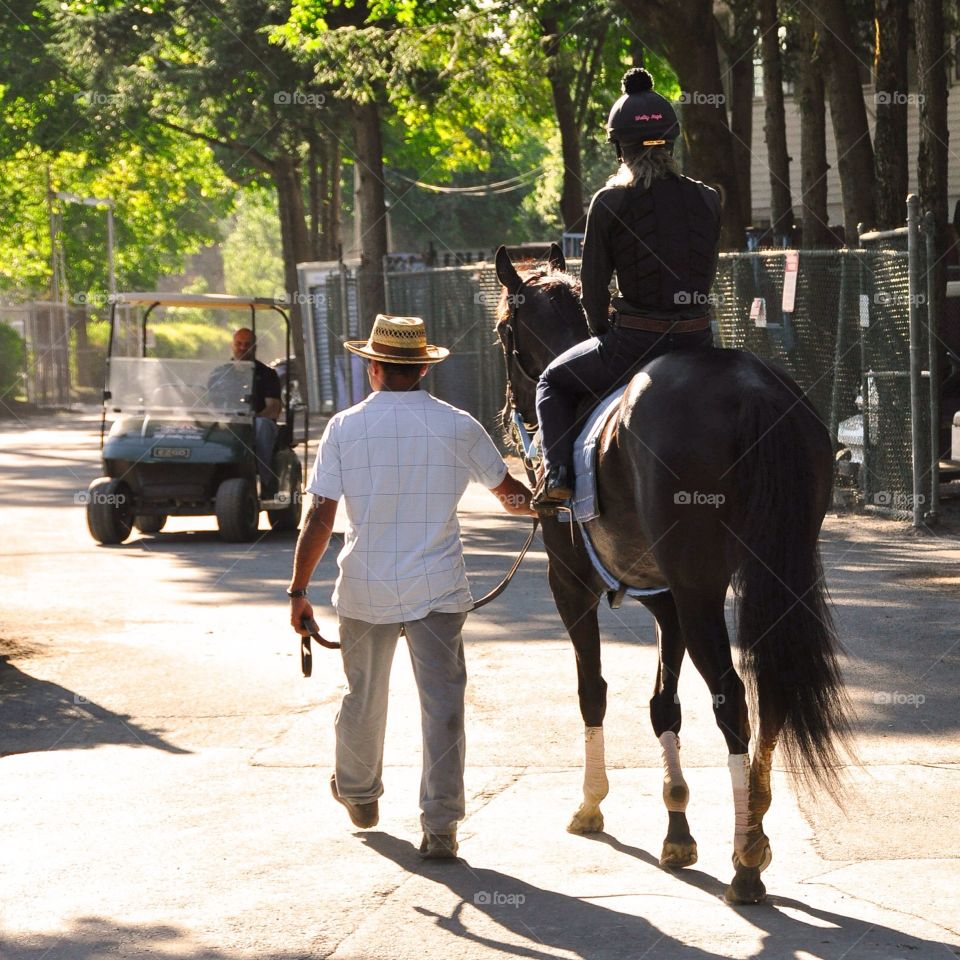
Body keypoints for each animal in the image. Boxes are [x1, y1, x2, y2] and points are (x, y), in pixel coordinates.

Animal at [496, 244, 848, 904]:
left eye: (505, 327)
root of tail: (753, 389)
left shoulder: (572, 586)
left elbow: (593, 690)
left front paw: (591, 804)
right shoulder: (666, 603)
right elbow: (665, 705)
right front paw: (678, 830)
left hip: (699, 587)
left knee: (733, 699)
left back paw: (745, 861)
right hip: (768, 576)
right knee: (773, 690)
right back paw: (754, 824)